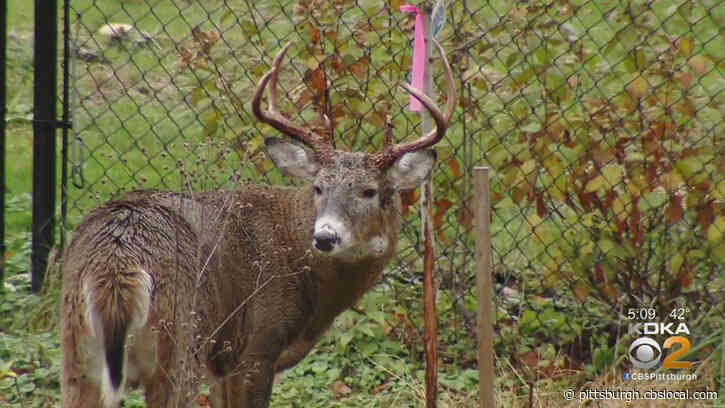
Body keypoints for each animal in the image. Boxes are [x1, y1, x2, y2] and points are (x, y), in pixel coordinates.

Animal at [60, 39, 455, 408]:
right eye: (318, 187)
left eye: (369, 191)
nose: (325, 237)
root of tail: (116, 264)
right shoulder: (256, 349)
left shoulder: (222, 364)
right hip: (180, 342)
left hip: (77, 353)